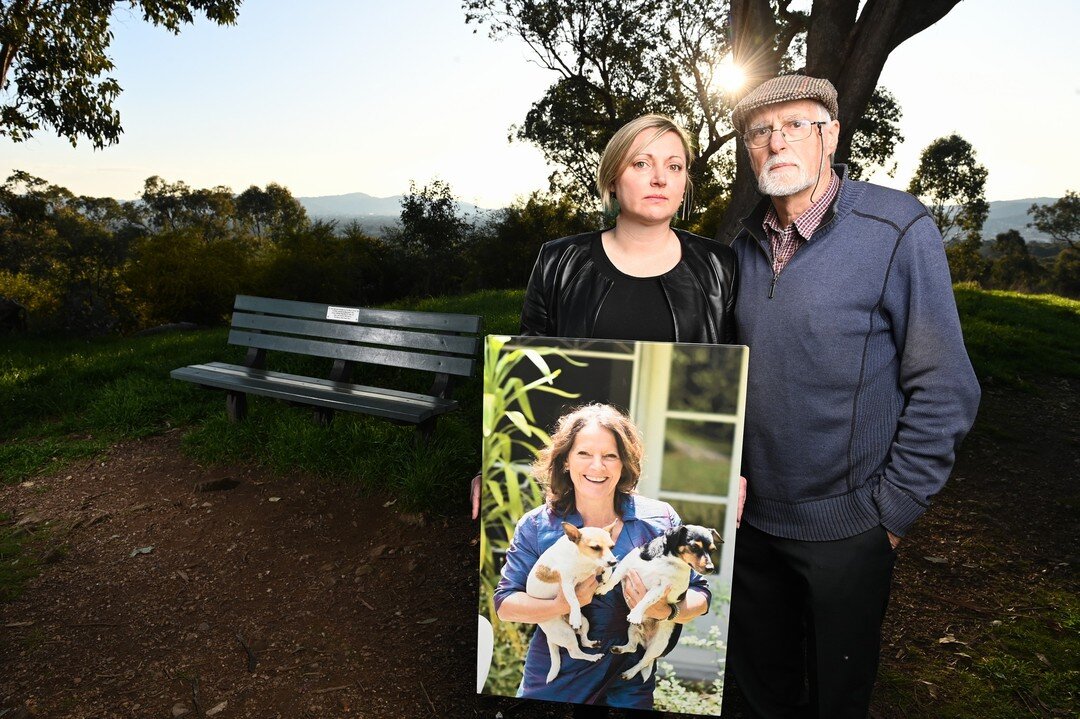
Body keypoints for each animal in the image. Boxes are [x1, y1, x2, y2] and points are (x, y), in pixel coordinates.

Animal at [596, 520, 721, 677]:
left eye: (713, 550)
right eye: (694, 547)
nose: (711, 568)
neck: (668, 561)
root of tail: (645, 640)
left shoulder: (660, 588)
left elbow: (645, 600)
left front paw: (636, 613)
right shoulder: (627, 565)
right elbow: (614, 578)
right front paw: (603, 588)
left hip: (657, 646)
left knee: (643, 662)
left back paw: (629, 673)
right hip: (632, 630)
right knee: (633, 647)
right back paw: (620, 649)